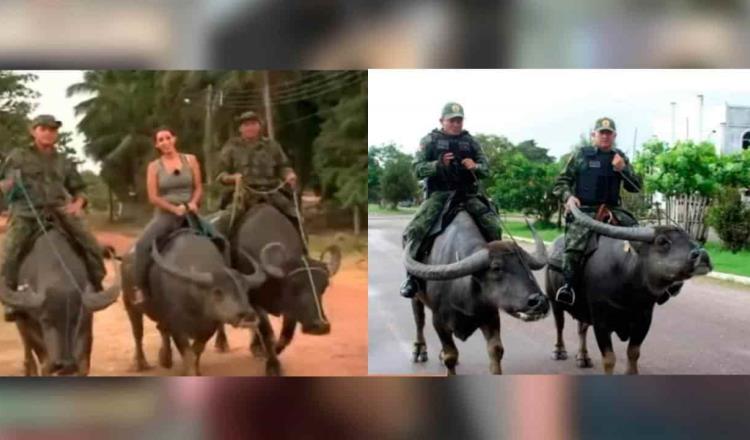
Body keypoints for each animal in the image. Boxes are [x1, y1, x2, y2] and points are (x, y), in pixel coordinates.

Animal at [0, 229, 119, 376]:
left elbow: (84, 363)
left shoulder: (86, 327)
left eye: (77, 320)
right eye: (45, 320)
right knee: (28, 351)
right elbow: (43, 361)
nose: (66, 365)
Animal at [122, 229, 266, 376]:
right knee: (138, 334)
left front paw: (196, 370)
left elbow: (197, 350)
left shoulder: (209, 328)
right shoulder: (177, 328)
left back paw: (166, 359)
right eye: (217, 292)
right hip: (130, 304)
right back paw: (141, 363)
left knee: (161, 329)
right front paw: (189, 372)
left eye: (245, 289)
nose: (248, 316)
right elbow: (188, 353)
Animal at [212, 205, 340, 376]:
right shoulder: (255, 302)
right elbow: (268, 333)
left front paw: (272, 352)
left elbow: (286, 335)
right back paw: (222, 342)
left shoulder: (290, 309)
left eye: (323, 287)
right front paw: (273, 365)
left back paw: (256, 347)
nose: (320, 326)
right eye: (294, 286)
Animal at [406, 211, 552, 374]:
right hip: (416, 297)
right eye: (496, 268)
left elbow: (496, 350)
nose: (540, 301)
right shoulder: (439, 322)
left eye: (525, 264)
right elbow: (451, 356)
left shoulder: (491, 316)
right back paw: (419, 350)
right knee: (419, 320)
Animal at [548, 205, 712, 372]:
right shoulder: (601, 323)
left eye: (689, 238)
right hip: (555, 301)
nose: (703, 255)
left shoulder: (644, 321)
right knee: (560, 325)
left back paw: (583, 356)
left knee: (582, 327)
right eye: (662, 241)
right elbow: (609, 359)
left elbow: (633, 353)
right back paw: (559, 351)